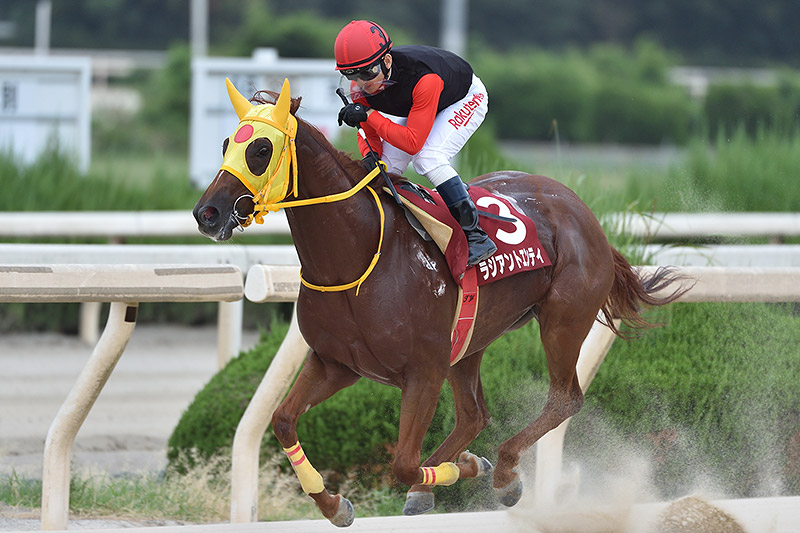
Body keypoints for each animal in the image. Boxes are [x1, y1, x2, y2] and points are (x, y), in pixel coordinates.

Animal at [193, 79, 687, 527]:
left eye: (260, 150)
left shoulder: (423, 371)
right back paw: (450, 478)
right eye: (225, 143)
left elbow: (402, 463)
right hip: (471, 338)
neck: (356, 257)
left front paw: (467, 468)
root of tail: (581, 209)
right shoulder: (335, 363)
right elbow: (282, 420)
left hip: (562, 321)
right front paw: (334, 505)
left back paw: (503, 472)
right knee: (474, 415)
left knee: (563, 400)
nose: (207, 214)